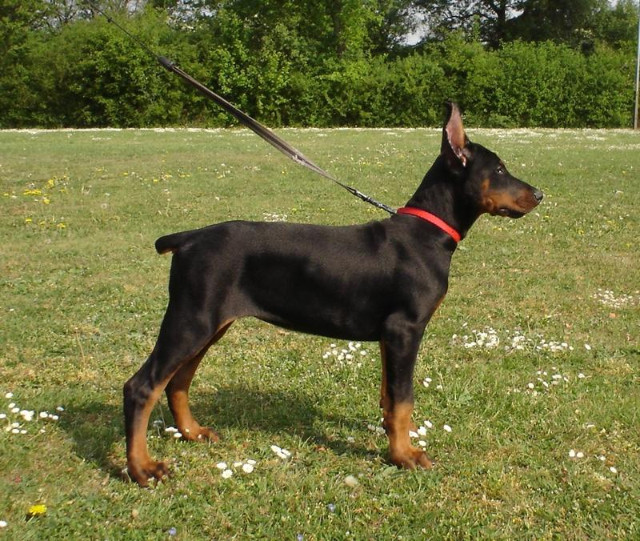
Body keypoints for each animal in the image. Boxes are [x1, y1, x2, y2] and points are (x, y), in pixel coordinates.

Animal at [123, 103, 543, 486]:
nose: (539, 194)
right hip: (191, 319)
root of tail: (189, 238)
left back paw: (192, 432)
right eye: (499, 170)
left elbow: (389, 398)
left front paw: (393, 442)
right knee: (142, 386)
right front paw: (404, 455)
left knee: (177, 381)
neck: (429, 232)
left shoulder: (389, 335)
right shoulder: (405, 329)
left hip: (210, 324)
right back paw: (142, 468)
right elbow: (404, 399)